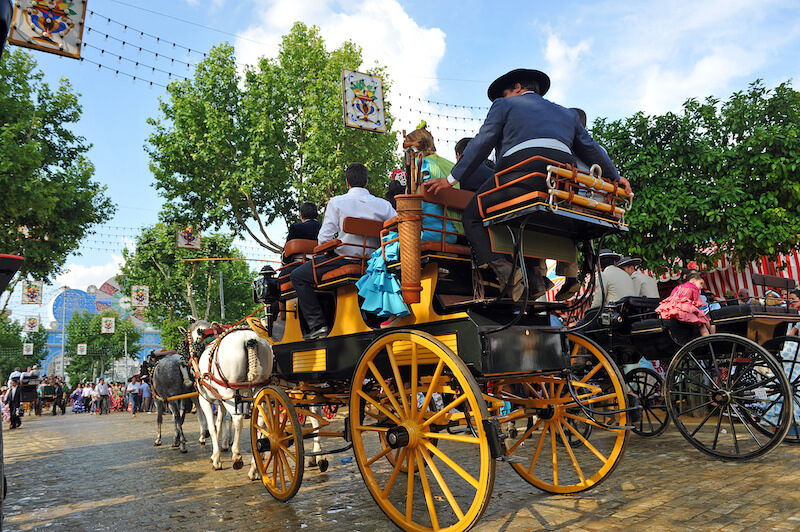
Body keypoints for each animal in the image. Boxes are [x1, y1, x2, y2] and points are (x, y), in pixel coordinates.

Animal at [184, 318, 276, 476]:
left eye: (188, 339)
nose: (188, 362)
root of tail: (249, 339)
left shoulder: (206, 400)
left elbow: (212, 427)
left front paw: (216, 459)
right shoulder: (221, 400)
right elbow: (219, 423)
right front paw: (218, 451)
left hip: (230, 393)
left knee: (238, 420)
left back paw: (237, 456)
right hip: (259, 389)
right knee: (260, 421)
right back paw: (254, 467)